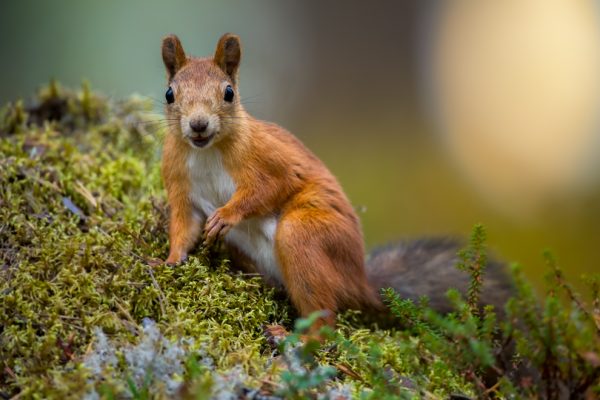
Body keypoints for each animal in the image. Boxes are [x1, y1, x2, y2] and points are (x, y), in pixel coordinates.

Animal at [158, 33, 510, 328]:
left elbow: (270, 187)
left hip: (305, 236)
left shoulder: (270, 159)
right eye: (169, 93)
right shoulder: (179, 184)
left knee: (324, 318)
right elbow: (183, 226)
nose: (199, 125)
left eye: (229, 93)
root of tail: (361, 282)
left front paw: (226, 215)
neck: (206, 151)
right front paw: (169, 262)